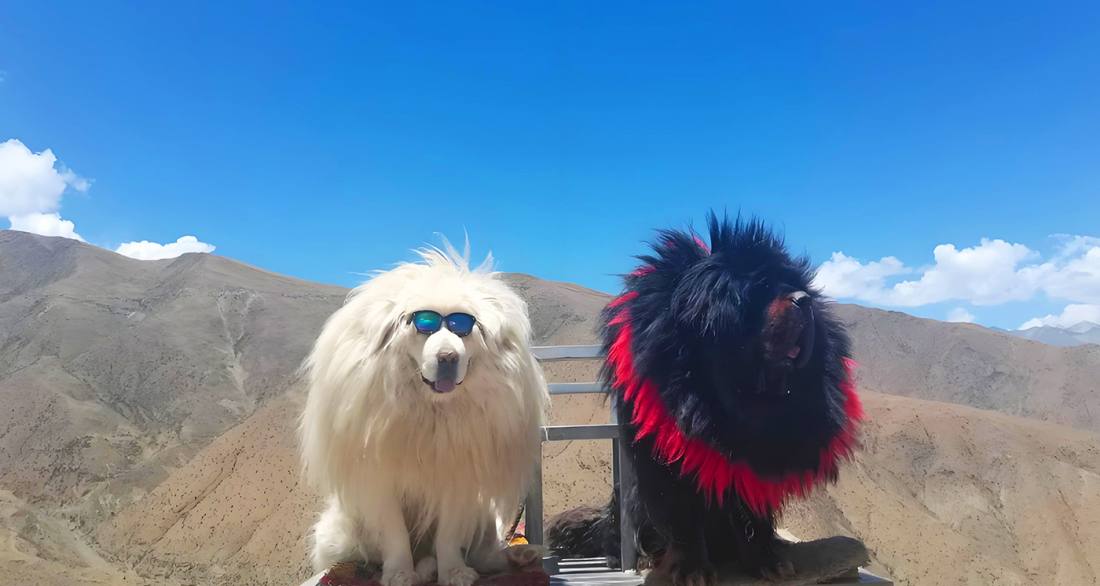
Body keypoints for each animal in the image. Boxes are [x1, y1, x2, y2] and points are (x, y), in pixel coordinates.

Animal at [299, 242, 549, 586]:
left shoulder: (458, 479)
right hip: (339, 533)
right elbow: (395, 535)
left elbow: (448, 538)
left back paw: (521, 555)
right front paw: (400, 574)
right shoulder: (382, 482)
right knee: (362, 557)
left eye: (464, 329)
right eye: (423, 325)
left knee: (487, 554)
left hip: (482, 515)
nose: (448, 357)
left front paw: (454, 573)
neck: (431, 411)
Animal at [548, 214, 862, 584]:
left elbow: (752, 518)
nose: (804, 300)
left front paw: (765, 558)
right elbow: (683, 519)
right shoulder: (670, 465)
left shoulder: (750, 468)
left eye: (791, 286)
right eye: (760, 288)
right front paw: (691, 569)